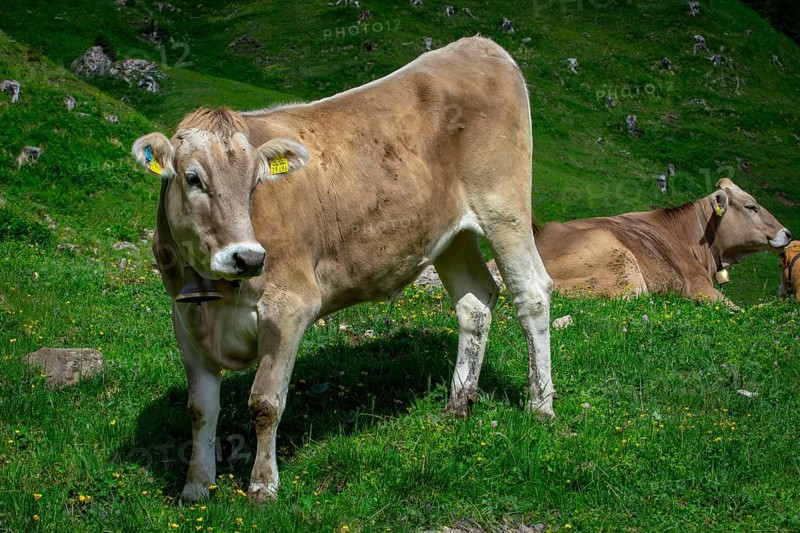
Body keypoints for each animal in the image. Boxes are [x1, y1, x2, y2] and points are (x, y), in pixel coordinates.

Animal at [131, 36, 554, 503]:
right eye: (193, 179)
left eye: (256, 182)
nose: (248, 258)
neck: (216, 294)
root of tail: (477, 44)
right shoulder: (185, 318)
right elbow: (200, 409)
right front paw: (195, 487)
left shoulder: (289, 307)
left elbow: (266, 402)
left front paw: (263, 486)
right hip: (451, 233)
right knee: (475, 304)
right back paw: (458, 404)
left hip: (504, 207)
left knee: (532, 294)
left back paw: (541, 405)